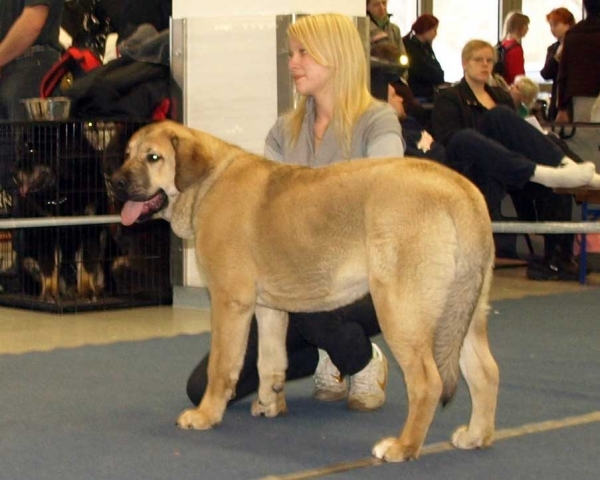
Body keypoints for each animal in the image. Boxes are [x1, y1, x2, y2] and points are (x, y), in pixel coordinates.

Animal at [110, 121, 500, 464]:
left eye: (153, 158)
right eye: (127, 154)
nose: (113, 182)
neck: (207, 183)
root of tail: (461, 191)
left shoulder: (229, 302)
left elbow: (222, 366)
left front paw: (206, 414)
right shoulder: (268, 308)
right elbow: (270, 362)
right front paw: (270, 404)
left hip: (401, 310)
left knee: (427, 382)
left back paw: (403, 447)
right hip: (463, 313)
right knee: (485, 372)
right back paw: (476, 436)